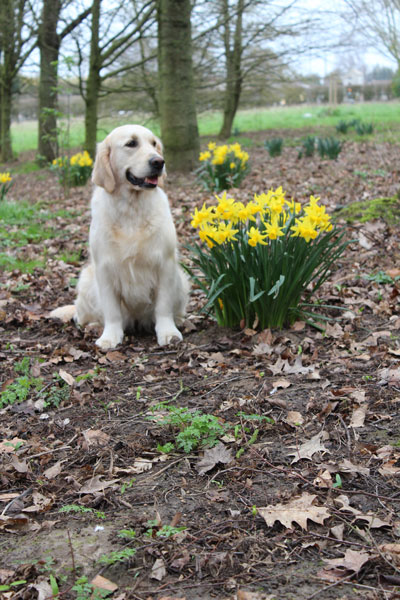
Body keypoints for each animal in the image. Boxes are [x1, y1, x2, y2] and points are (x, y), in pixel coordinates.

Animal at [51, 123, 189, 350]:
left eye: (154, 144)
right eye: (131, 143)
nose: (158, 162)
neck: (131, 209)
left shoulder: (166, 264)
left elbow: (163, 307)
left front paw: (168, 332)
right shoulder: (104, 268)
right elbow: (112, 310)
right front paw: (110, 337)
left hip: (182, 280)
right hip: (86, 280)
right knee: (81, 315)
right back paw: (93, 326)